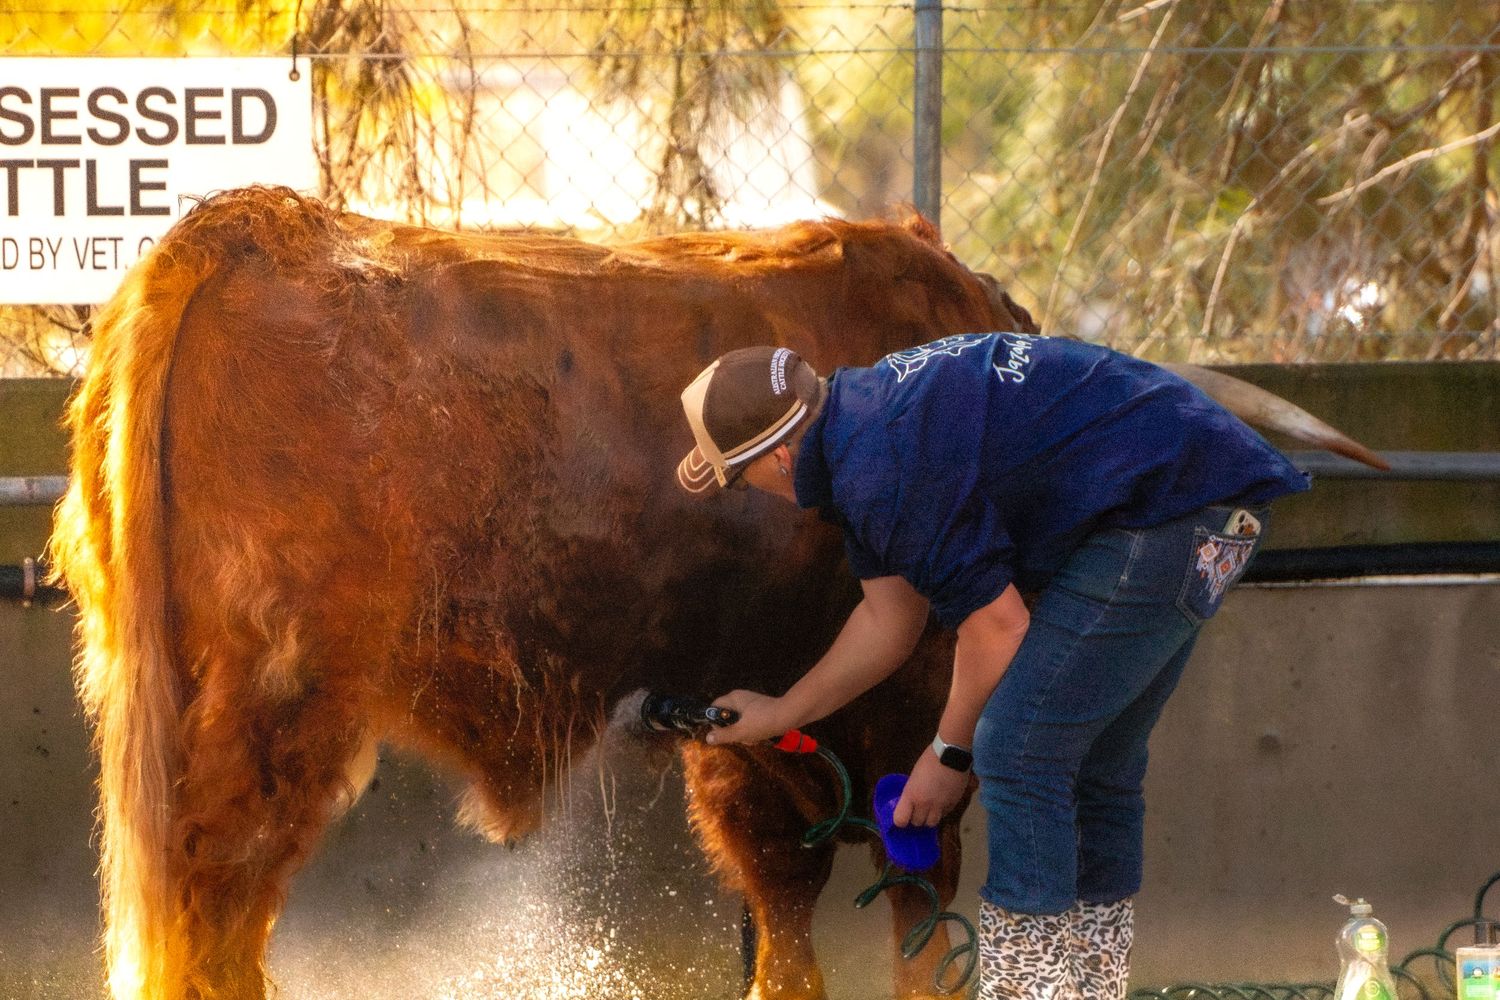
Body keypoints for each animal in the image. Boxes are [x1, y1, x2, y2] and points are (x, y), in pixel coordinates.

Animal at [49, 185, 1384, 1000]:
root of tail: (242, 227)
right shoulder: (909, 704)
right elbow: (913, 896)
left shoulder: (752, 725)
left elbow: (784, 916)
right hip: (266, 717)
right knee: (215, 917)